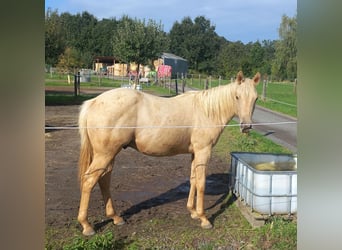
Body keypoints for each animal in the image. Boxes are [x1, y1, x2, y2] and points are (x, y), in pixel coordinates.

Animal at [77, 71, 260, 235]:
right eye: (237, 96)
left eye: (255, 98)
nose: (246, 126)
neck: (207, 111)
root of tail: (94, 102)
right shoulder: (203, 151)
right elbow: (201, 183)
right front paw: (203, 218)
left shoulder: (194, 153)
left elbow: (193, 180)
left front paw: (192, 212)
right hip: (105, 154)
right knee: (89, 181)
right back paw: (86, 225)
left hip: (110, 154)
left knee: (104, 180)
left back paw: (115, 217)